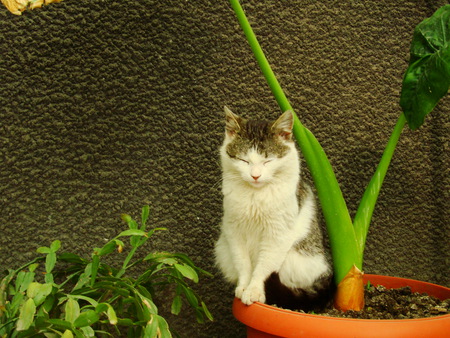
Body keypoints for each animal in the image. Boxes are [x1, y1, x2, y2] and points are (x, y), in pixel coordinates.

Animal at [214, 105, 334, 312]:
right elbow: (243, 264)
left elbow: (263, 267)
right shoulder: (234, 231)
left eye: (268, 161)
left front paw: (254, 291)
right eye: (244, 161)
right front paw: (243, 287)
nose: (255, 176)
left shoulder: (277, 234)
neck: (255, 196)